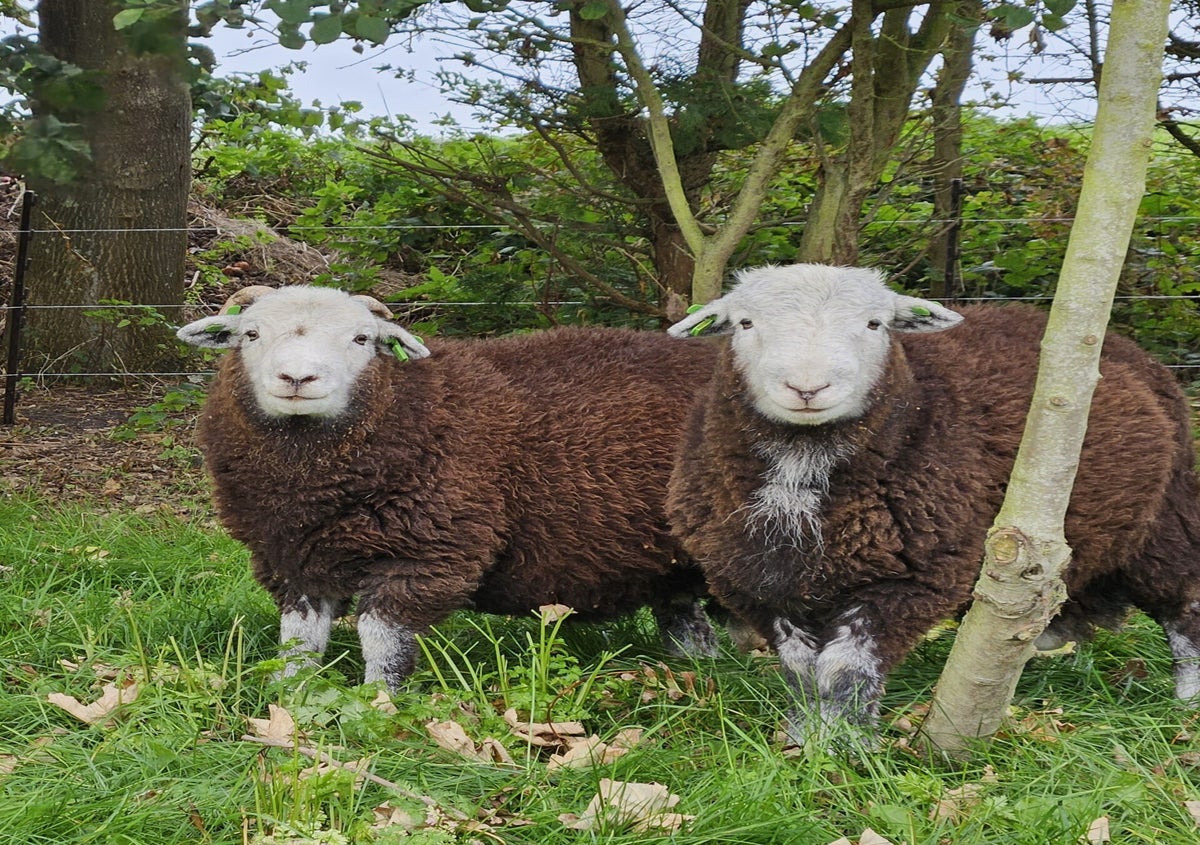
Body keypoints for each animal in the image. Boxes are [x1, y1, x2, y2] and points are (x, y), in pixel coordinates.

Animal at [176, 284, 721, 690]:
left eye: (361, 339)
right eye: (250, 333)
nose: (297, 377)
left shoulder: (428, 554)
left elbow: (383, 642)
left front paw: (378, 707)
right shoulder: (293, 559)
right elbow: (298, 643)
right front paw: (289, 700)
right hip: (668, 559)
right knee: (684, 616)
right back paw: (696, 669)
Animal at [666, 263, 1200, 743]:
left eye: (875, 324)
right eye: (745, 323)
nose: (808, 388)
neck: (803, 465)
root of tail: (1130, 351)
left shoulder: (913, 578)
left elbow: (845, 668)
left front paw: (844, 745)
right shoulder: (761, 579)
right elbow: (801, 670)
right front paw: (804, 735)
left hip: (1165, 517)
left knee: (1185, 604)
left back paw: (1188, 697)